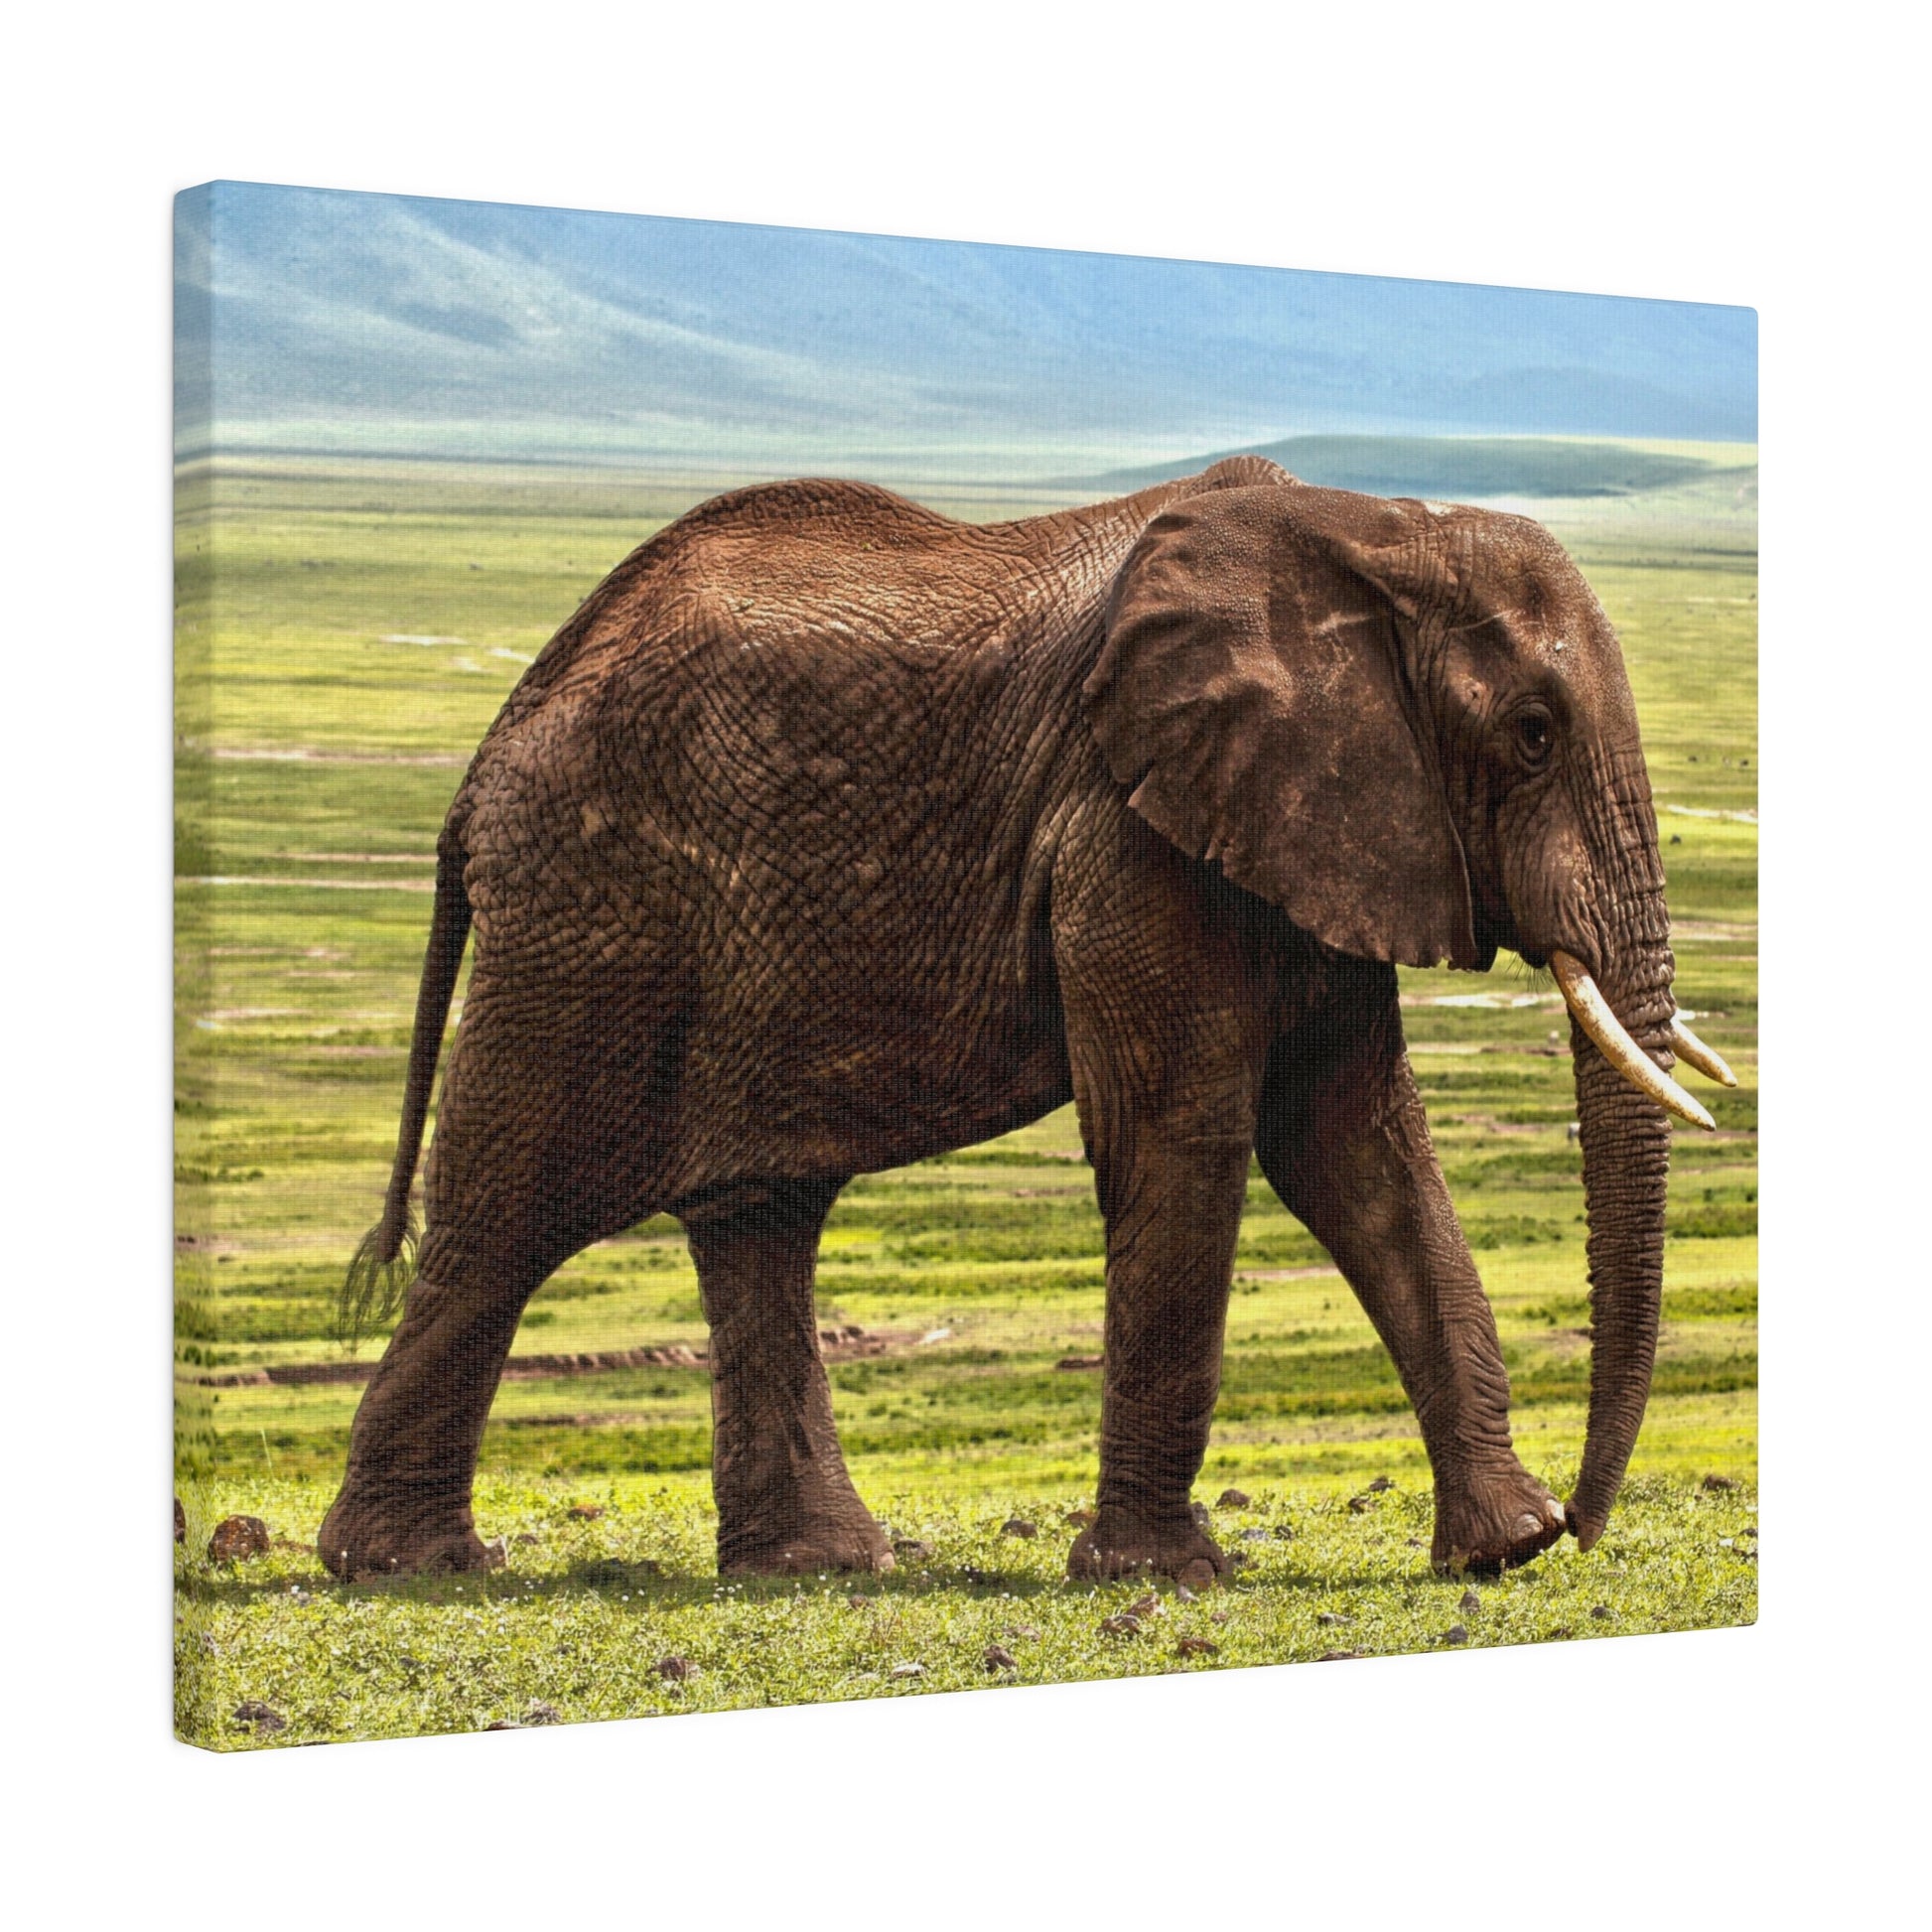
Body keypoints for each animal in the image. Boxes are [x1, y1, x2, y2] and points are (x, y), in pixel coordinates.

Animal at [318, 453, 1735, 1586]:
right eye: (1532, 733)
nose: (1586, 1524)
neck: (1372, 529)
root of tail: (496, 741)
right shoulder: (1125, 827)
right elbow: (1185, 1136)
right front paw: (1163, 1576)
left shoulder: (1316, 826)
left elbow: (1357, 1147)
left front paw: (1501, 1549)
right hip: (591, 915)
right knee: (508, 1213)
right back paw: (406, 1567)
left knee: (758, 1214)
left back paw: (817, 1566)